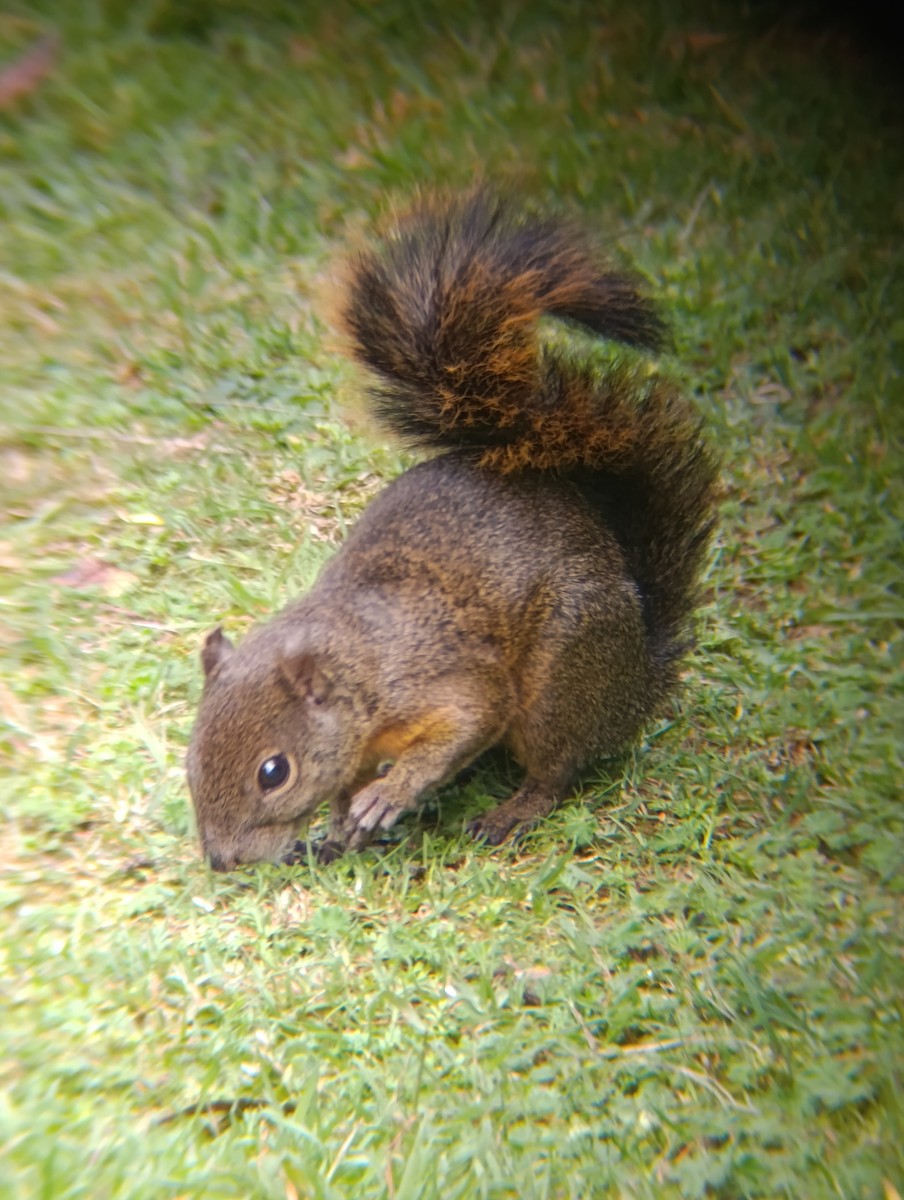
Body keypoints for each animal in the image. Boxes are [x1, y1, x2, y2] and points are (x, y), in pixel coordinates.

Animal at [186, 191, 718, 870]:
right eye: (192, 755)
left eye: (273, 772)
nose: (222, 860)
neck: (360, 662)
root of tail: (643, 677)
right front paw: (340, 824)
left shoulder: (444, 680)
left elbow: (469, 719)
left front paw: (389, 795)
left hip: (560, 679)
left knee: (558, 768)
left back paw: (510, 811)